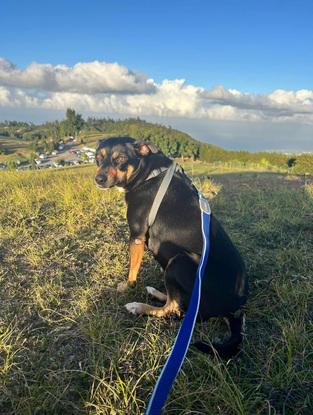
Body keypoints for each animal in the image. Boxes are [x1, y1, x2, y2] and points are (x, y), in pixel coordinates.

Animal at [94, 136, 247, 358]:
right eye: (98, 157)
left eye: (121, 158)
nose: (98, 179)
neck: (147, 174)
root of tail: (236, 308)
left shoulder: (137, 236)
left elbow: (132, 269)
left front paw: (127, 287)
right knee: (176, 300)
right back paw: (154, 292)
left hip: (179, 262)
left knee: (173, 309)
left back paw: (138, 307)